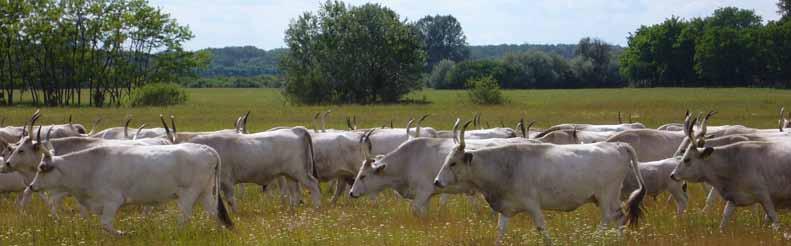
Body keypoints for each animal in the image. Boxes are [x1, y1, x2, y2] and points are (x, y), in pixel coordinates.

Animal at [27, 143, 232, 235]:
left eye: (42, 168)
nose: (31, 186)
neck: (92, 166)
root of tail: (206, 149)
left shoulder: (112, 201)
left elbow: (106, 224)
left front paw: (124, 234)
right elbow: (104, 227)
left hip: (188, 194)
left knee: (185, 216)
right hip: (206, 193)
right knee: (214, 213)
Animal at [434, 121, 648, 244]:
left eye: (453, 163)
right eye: (446, 160)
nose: (437, 181)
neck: (506, 166)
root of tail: (618, 145)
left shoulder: (533, 205)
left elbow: (541, 229)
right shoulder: (506, 209)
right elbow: (500, 233)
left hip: (605, 195)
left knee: (609, 218)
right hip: (608, 197)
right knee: (619, 218)